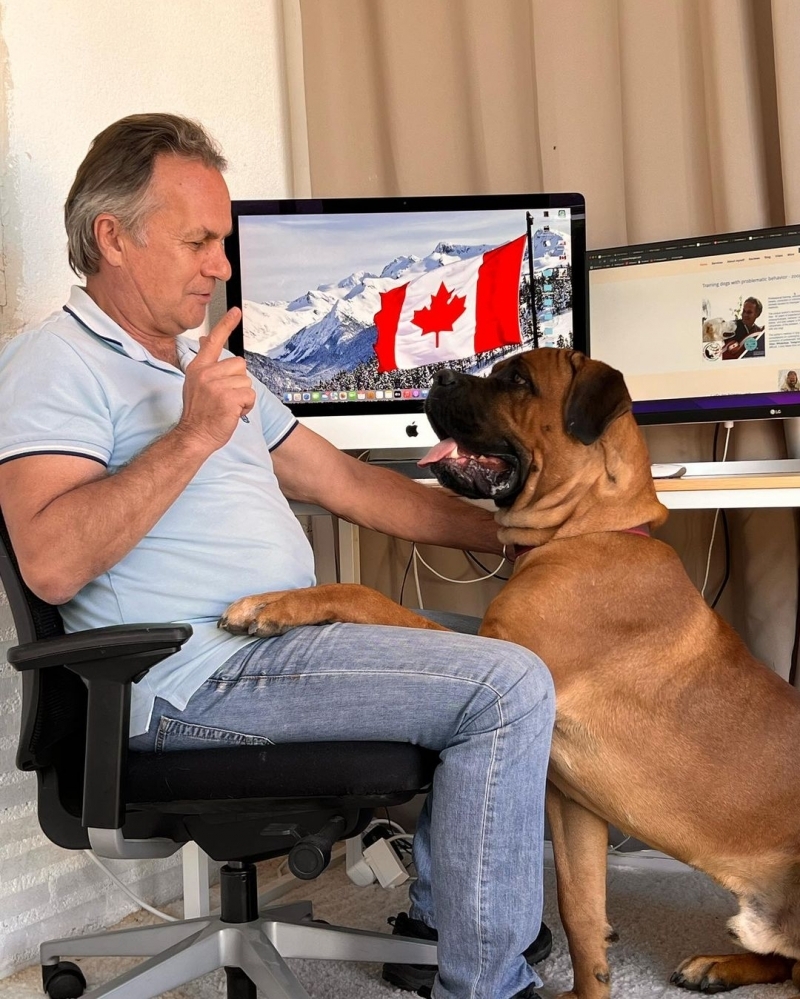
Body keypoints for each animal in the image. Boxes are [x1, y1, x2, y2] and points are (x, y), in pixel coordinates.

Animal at [220, 348, 800, 998]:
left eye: (518, 381)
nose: (441, 375)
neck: (587, 529)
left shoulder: (500, 650)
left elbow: (361, 594)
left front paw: (274, 603)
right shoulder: (572, 808)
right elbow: (580, 909)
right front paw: (587, 989)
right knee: (782, 958)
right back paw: (715, 966)